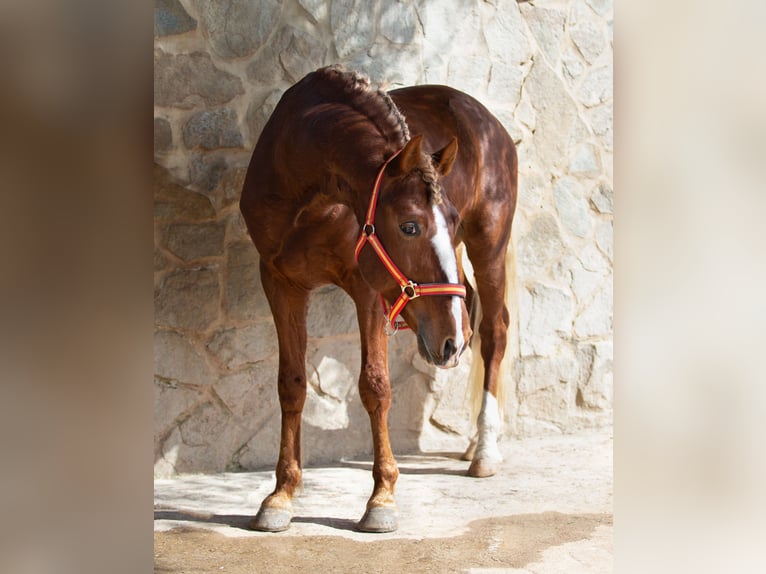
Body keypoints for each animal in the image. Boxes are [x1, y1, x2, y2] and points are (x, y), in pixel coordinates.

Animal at [240, 65, 520, 532]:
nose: (446, 343)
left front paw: (382, 498)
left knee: (493, 331)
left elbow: (375, 386)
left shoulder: (368, 288)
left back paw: (484, 451)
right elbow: (291, 385)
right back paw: (475, 437)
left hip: (488, 245)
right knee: (471, 314)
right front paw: (281, 496)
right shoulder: (279, 282)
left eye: (451, 219)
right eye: (409, 226)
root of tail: (487, 120)